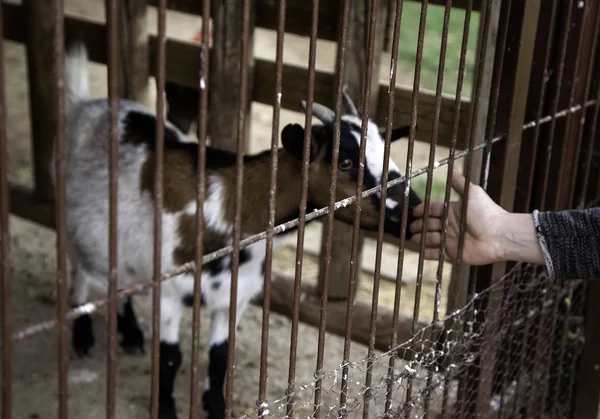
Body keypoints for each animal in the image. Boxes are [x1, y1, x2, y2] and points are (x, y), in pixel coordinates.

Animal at [55, 40, 422, 419]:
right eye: (346, 162)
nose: (414, 210)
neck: (227, 208)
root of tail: (84, 105)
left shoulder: (235, 295)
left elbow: (219, 358)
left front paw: (216, 405)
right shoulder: (171, 293)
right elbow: (171, 358)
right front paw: (167, 408)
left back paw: (129, 334)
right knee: (81, 271)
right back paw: (82, 335)